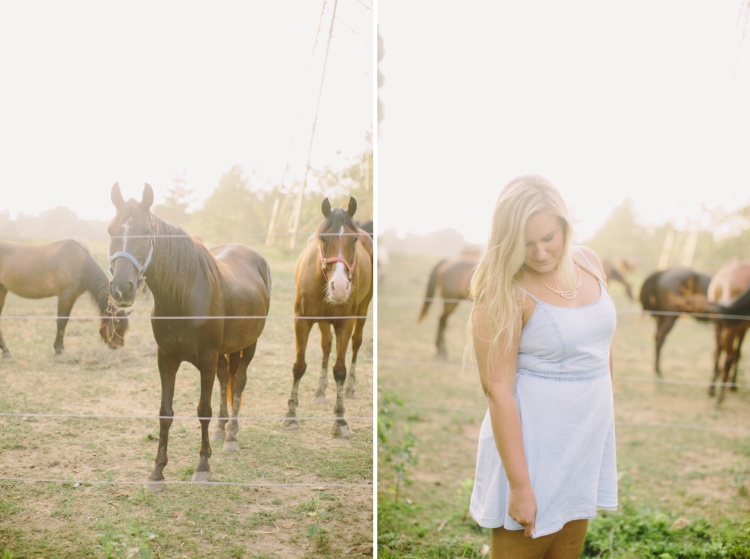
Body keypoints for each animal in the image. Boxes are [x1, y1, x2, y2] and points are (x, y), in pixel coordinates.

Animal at [0, 238, 128, 356]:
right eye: (117, 328)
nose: (118, 349)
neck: (80, 265)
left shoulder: (72, 296)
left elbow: (65, 321)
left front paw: (61, 348)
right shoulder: (65, 295)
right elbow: (61, 321)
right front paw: (58, 351)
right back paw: (6, 351)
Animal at [106, 182, 270, 488]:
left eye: (145, 231)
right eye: (111, 230)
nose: (122, 288)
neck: (182, 299)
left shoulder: (205, 360)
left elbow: (202, 410)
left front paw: (203, 466)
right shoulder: (167, 360)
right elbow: (165, 412)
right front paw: (157, 470)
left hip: (249, 345)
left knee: (239, 382)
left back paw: (231, 435)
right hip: (223, 353)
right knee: (225, 379)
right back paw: (221, 429)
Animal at [284, 199, 374, 440]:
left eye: (354, 239)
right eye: (323, 238)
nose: (340, 287)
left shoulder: (345, 323)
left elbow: (340, 370)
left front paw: (340, 420)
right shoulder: (301, 321)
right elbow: (299, 365)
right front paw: (291, 414)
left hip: (362, 310)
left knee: (356, 344)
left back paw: (350, 387)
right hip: (323, 321)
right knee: (326, 345)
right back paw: (320, 390)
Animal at [708, 258, 750, 406]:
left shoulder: (722, 325)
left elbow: (718, 352)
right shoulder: (741, 328)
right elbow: (737, 353)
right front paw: (732, 384)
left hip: (726, 327)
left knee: (727, 355)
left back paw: (719, 396)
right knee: (732, 355)